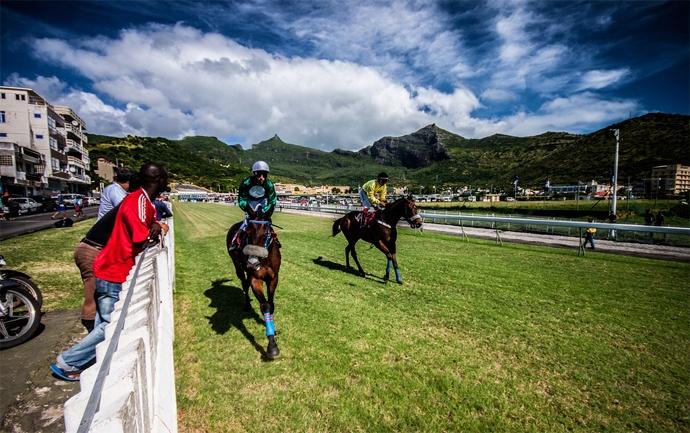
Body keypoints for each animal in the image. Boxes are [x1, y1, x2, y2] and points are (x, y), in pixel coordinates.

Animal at [226, 216, 280, 358]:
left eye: (266, 233)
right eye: (247, 234)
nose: (252, 263)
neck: (264, 260)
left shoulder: (273, 278)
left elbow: (271, 304)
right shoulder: (255, 278)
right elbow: (265, 305)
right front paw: (272, 345)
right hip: (237, 264)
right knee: (244, 283)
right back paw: (246, 305)